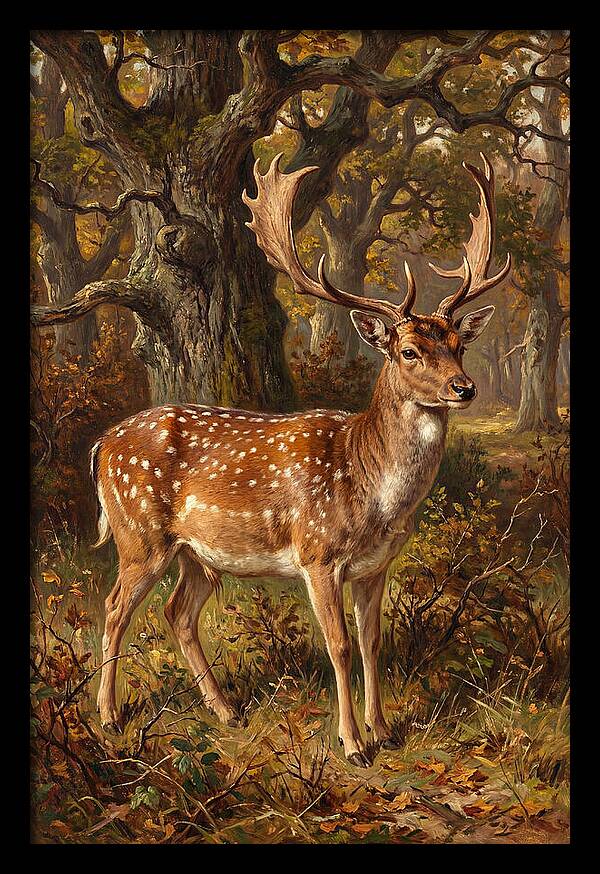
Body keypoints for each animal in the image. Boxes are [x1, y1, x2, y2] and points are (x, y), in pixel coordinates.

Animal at [90, 152, 510, 767]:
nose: (465, 387)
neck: (372, 489)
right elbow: (338, 645)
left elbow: (372, 641)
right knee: (115, 607)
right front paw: (353, 744)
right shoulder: (318, 555)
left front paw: (385, 731)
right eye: (409, 351)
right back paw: (109, 716)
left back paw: (226, 710)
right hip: (138, 534)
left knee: (177, 614)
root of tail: (102, 445)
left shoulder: (376, 565)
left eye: (459, 344)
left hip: (199, 555)